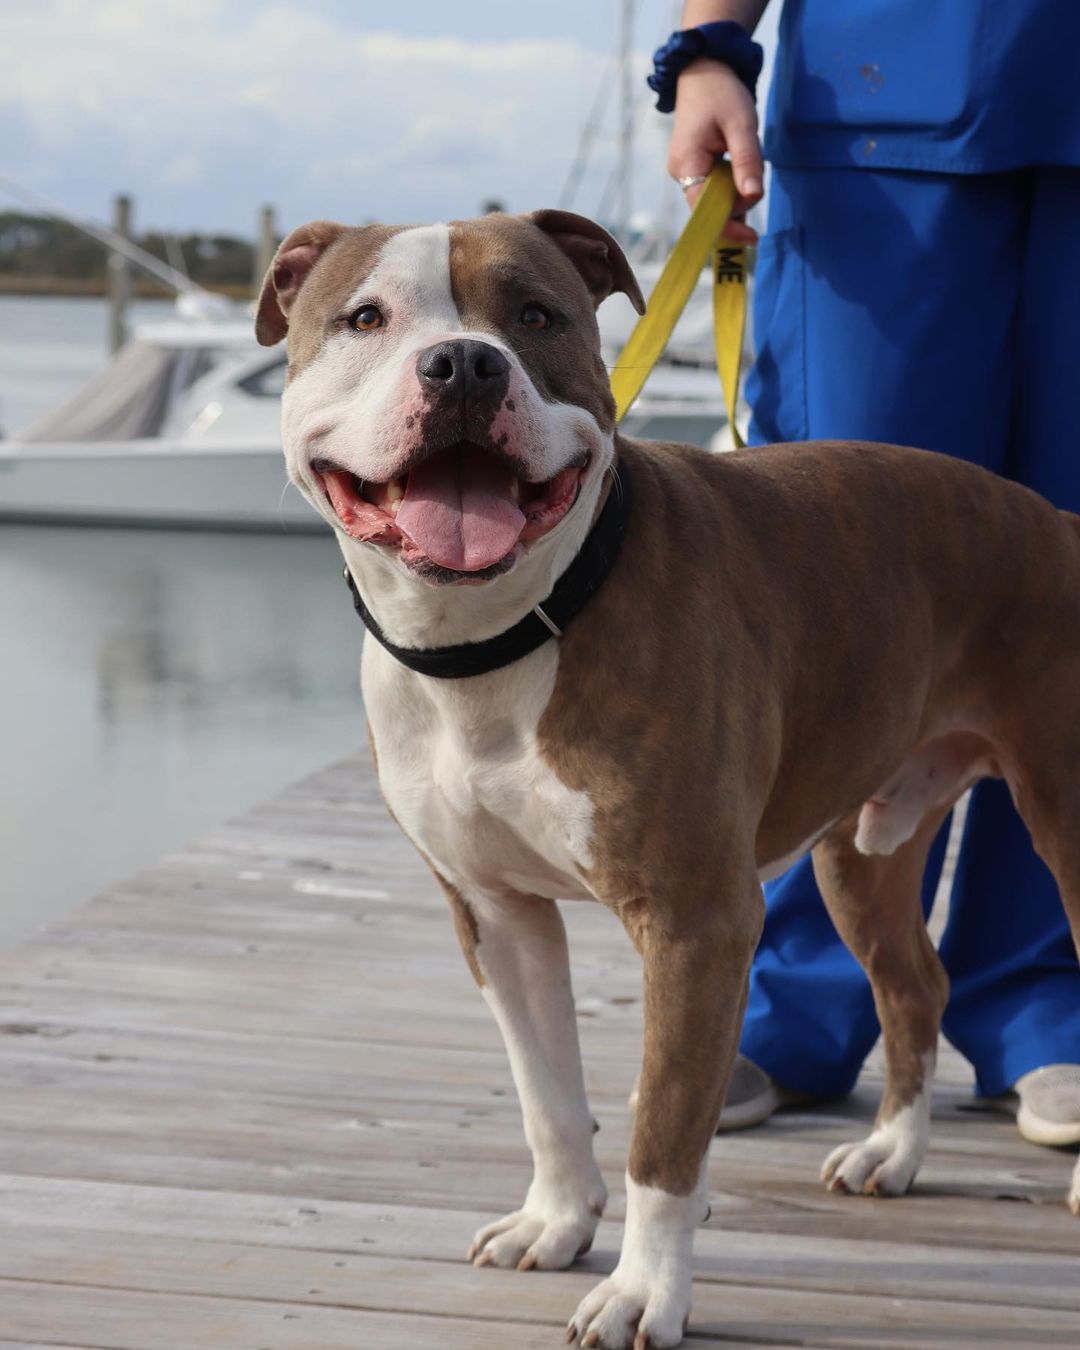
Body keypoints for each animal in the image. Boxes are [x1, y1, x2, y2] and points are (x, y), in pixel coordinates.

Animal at [255, 210, 1080, 1350]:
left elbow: (664, 1129)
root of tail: (1055, 519)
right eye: (365, 318)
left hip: (1062, 811)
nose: (464, 363)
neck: (501, 636)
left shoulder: (697, 922)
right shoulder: (497, 916)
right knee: (916, 985)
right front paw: (556, 1222)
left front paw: (645, 1290)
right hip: (861, 848)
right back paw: (894, 1155)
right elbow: (547, 1095)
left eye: (536, 316)